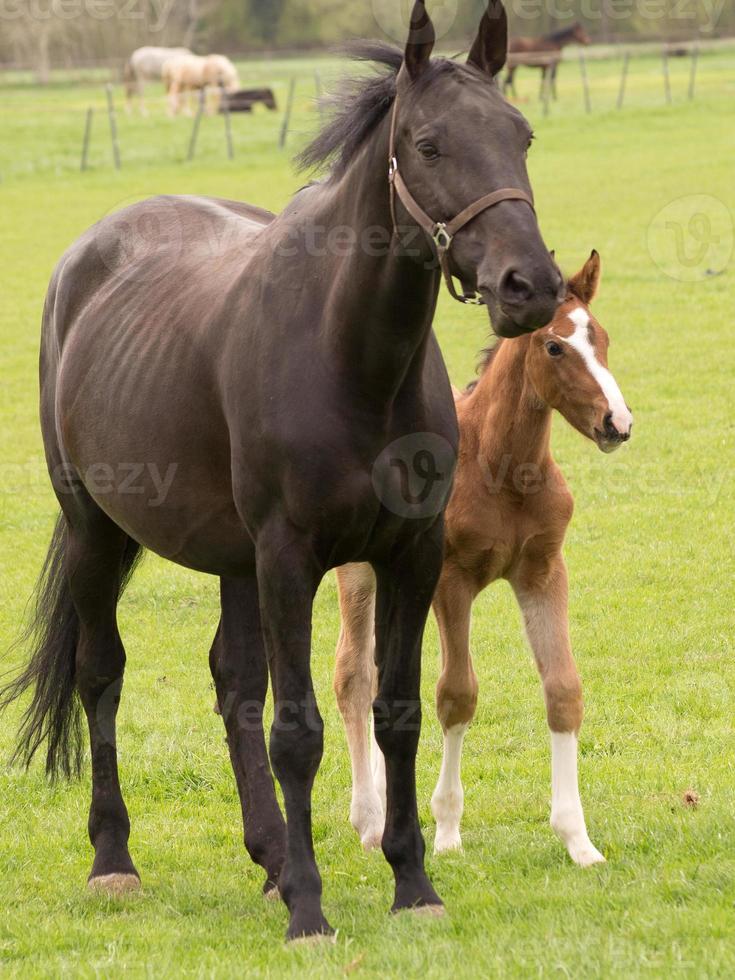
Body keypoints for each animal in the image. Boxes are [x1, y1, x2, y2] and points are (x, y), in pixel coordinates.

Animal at [1, 1, 564, 948]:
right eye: (428, 144)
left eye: (521, 135)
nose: (530, 285)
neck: (349, 357)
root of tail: (92, 252)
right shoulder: (289, 557)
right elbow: (298, 730)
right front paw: (310, 909)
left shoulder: (409, 555)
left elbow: (395, 714)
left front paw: (411, 884)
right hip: (96, 532)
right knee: (100, 673)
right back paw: (115, 861)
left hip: (231, 560)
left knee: (233, 685)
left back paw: (268, 855)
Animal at [336, 251, 636, 864]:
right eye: (554, 347)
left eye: (601, 337)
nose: (616, 423)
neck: (501, 466)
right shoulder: (452, 580)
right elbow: (457, 694)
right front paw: (447, 832)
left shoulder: (543, 572)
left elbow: (563, 689)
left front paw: (578, 840)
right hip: (358, 574)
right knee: (352, 674)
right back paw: (370, 820)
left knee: (377, 675)